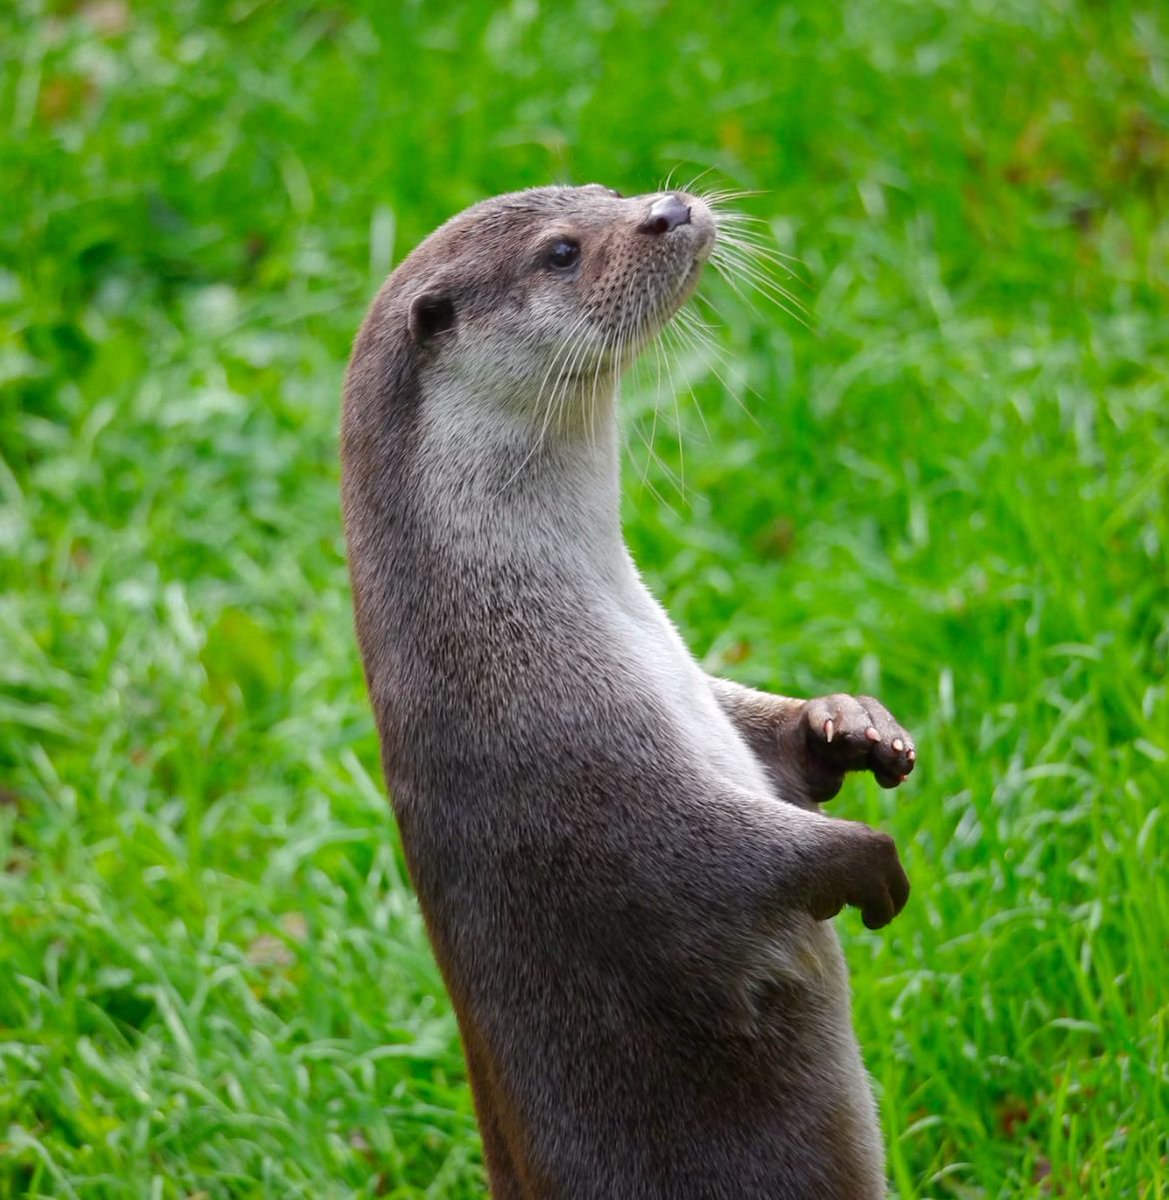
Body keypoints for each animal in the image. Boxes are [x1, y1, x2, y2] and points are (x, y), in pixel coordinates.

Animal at [341, 184, 916, 1199]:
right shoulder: (562, 759)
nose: (669, 206)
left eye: (605, 192)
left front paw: (849, 726)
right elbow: (698, 861)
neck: (504, 624)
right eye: (563, 252)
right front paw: (861, 856)